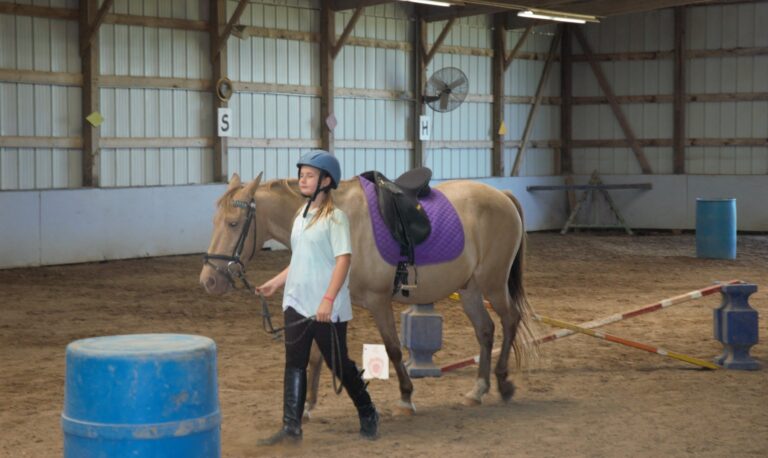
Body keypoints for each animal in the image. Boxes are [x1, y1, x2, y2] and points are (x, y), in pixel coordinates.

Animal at [199, 172, 534, 415]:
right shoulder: (330, 303)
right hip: (470, 289)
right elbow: (317, 355)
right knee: (486, 330)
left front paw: (406, 397)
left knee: (510, 320)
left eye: (233, 223)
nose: (209, 281)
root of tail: (502, 196)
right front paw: (307, 405)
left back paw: (503, 383)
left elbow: (394, 348)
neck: (333, 223)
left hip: (493, 284)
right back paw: (479, 390)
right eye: (213, 222)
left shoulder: (378, 301)